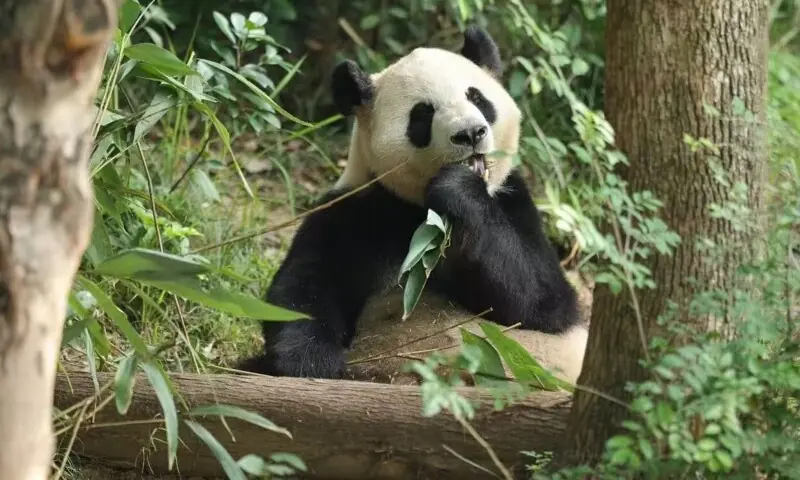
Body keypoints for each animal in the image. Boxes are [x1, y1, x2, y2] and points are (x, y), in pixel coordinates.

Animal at [238, 26, 586, 380]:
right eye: (423, 113)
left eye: (477, 98)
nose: (470, 133)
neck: (420, 209)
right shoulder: (355, 210)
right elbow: (303, 292)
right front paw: (315, 366)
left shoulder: (512, 199)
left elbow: (543, 303)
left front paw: (459, 189)